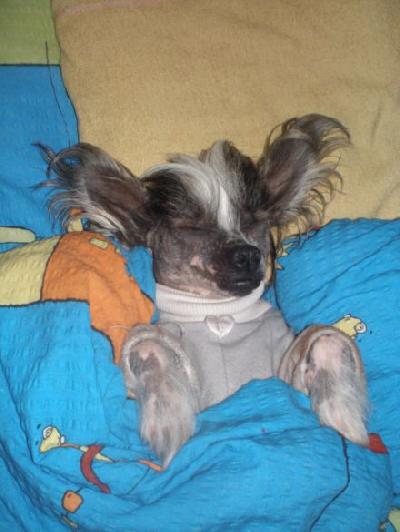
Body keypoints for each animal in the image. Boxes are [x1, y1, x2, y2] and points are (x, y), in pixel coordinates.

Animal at [41, 114, 368, 466]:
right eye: (192, 229)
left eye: (253, 222)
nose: (249, 254)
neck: (218, 311)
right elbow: (149, 346)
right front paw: (167, 422)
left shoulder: (287, 370)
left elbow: (327, 338)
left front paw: (344, 418)